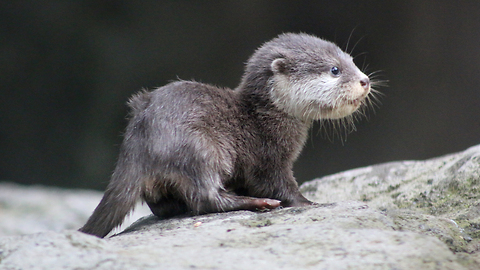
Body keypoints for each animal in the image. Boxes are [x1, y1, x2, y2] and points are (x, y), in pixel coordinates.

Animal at [79, 32, 374, 237]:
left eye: (351, 61)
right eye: (334, 70)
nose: (365, 80)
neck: (264, 118)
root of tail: (137, 144)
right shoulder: (267, 158)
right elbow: (280, 185)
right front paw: (309, 202)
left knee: (164, 206)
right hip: (201, 149)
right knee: (206, 198)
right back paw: (258, 203)